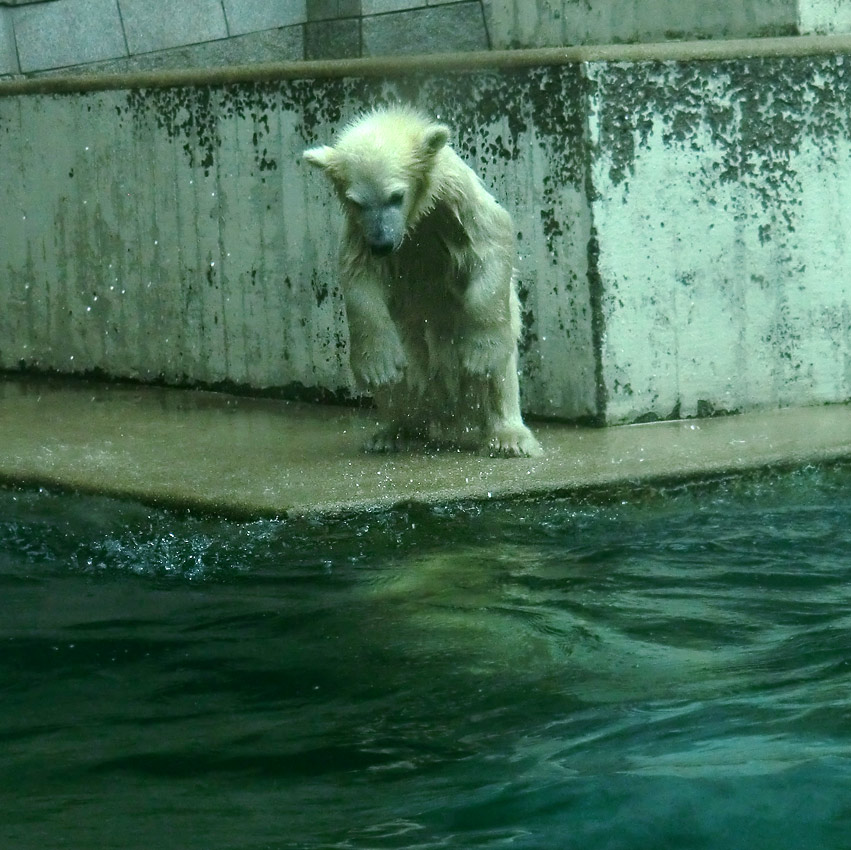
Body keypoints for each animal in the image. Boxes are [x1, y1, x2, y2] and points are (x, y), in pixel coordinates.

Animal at [306, 106, 544, 458]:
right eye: (358, 202)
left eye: (396, 196)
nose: (382, 243)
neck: (416, 217)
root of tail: (447, 410)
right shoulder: (359, 232)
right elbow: (360, 278)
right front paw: (377, 366)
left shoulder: (455, 196)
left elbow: (491, 240)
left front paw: (481, 354)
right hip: (408, 335)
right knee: (406, 372)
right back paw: (392, 432)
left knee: (498, 373)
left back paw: (509, 438)